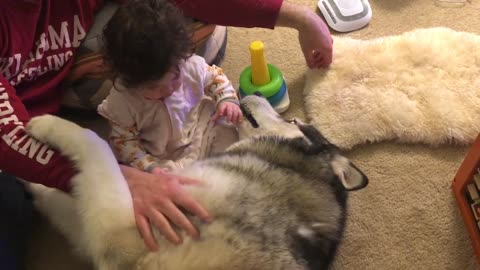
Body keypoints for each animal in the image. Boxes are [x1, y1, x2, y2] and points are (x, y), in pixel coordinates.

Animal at [26, 94, 370, 268]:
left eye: (293, 119)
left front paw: (44, 125)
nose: (257, 92)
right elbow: (59, 196)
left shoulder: (119, 235)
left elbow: (94, 141)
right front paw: (32, 179)